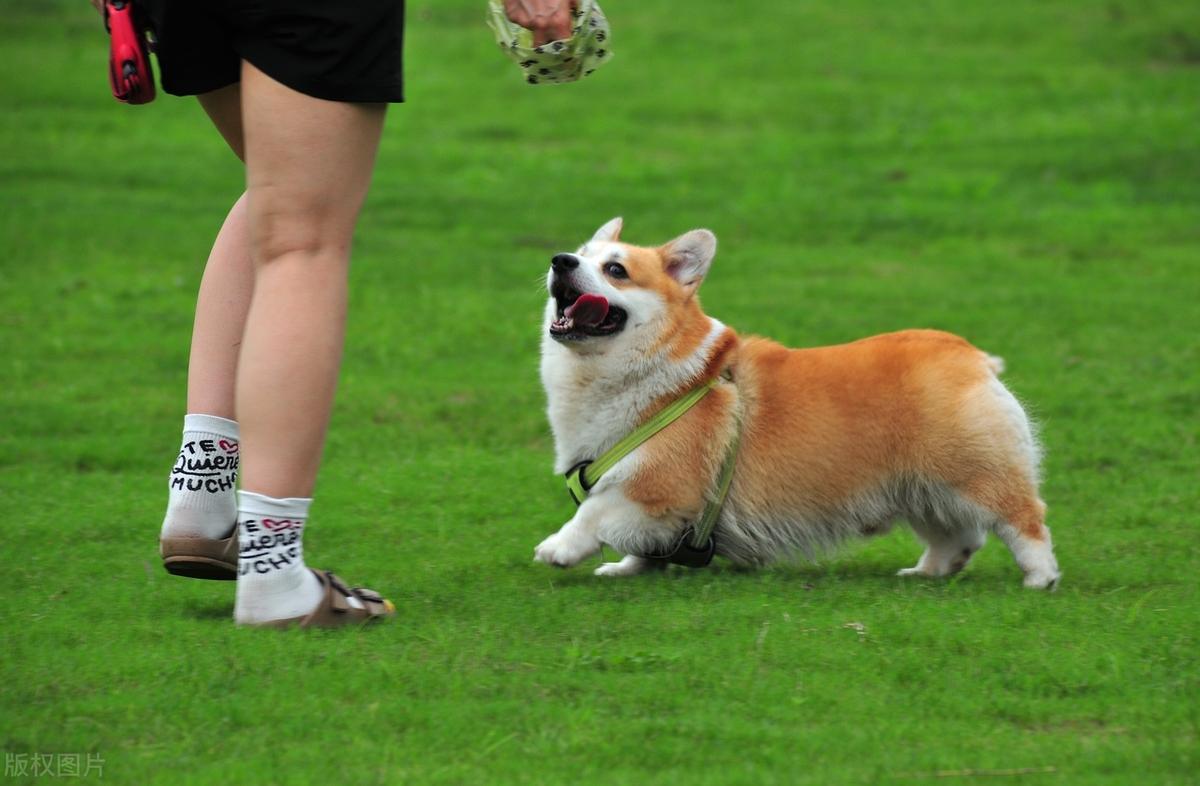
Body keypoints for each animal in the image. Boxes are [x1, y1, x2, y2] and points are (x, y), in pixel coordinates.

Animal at [535, 218, 1060, 588]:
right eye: (582, 255)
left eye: (616, 270)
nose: (561, 261)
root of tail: (969, 354)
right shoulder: (664, 511)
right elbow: (641, 543)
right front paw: (626, 568)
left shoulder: (657, 486)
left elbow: (593, 513)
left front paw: (558, 548)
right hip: (921, 489)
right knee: (960, 535)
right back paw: (927, 572)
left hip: (972, 471)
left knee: (1024, 518)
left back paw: (1040, 577)